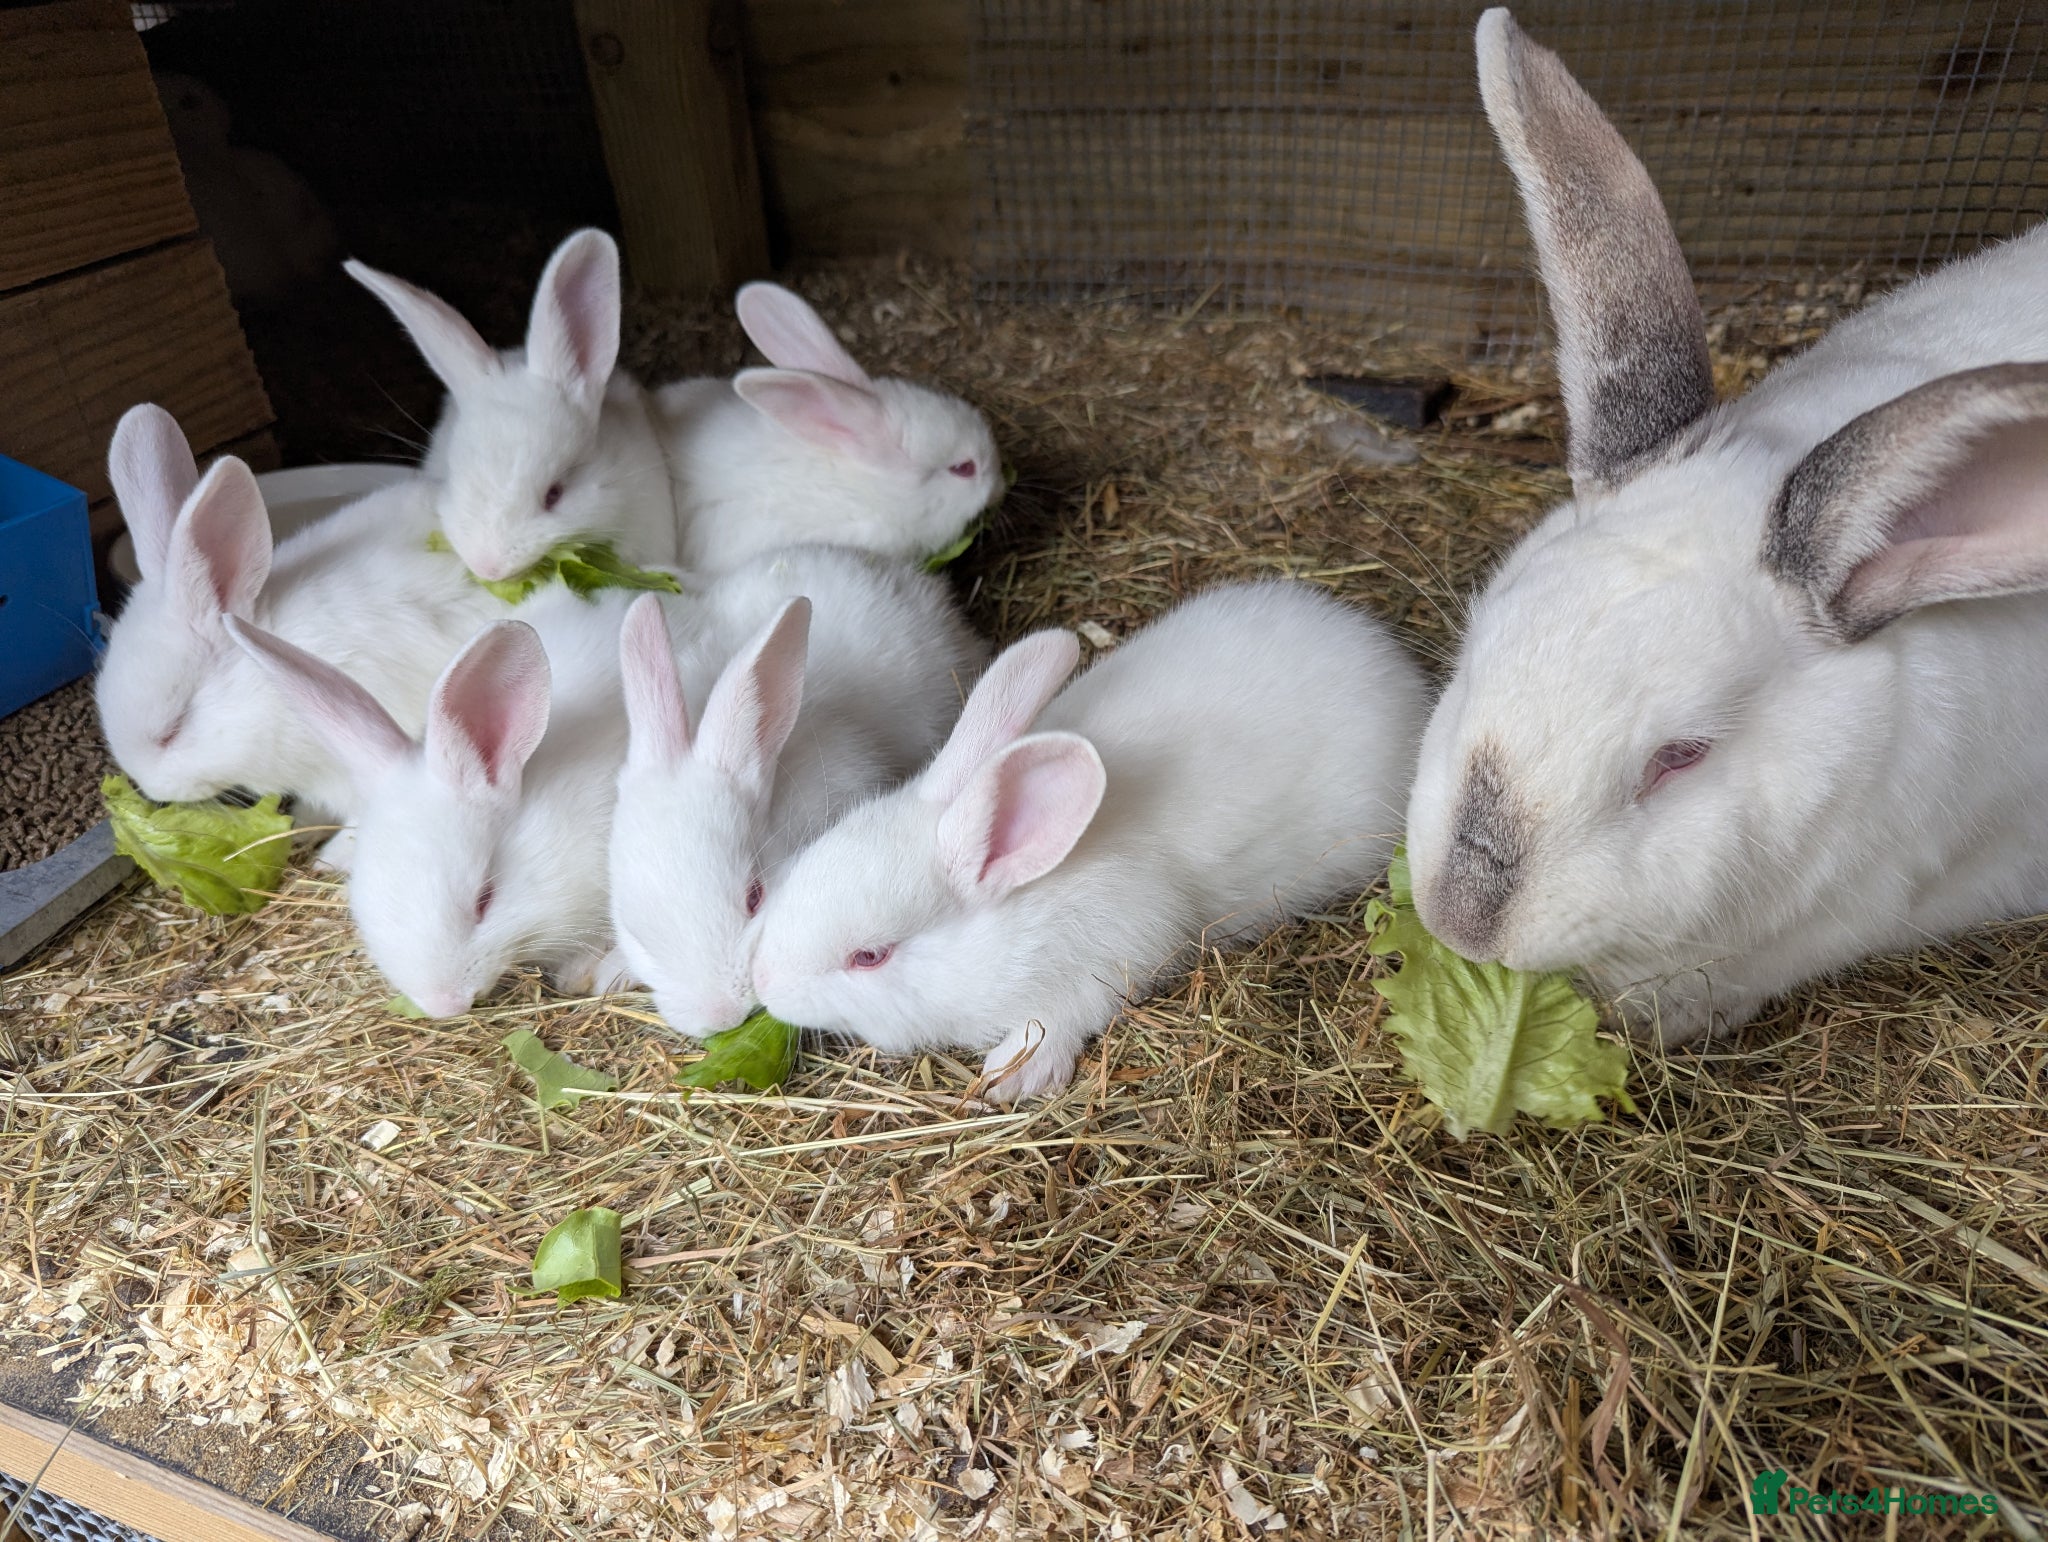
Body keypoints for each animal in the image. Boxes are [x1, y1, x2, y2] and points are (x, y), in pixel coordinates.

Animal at [746, 580, 1428, 1102]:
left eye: (870, 956)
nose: (764, 983)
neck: (1023, 901)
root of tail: (1391, 662)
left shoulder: (1121, 947)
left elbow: (1058, 1018)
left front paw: (1011, 1075)